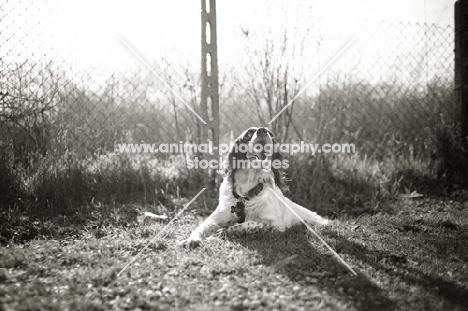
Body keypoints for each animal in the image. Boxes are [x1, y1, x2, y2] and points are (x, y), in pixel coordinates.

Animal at [179, 127, 330, 249]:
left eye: (270, 133)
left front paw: (227, 230)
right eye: (248, 134)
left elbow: (250, 224)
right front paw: (192, 239)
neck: (247, 191)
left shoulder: (275, 224)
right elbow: (200, 227)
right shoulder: (216, 217)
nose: (262, 130)